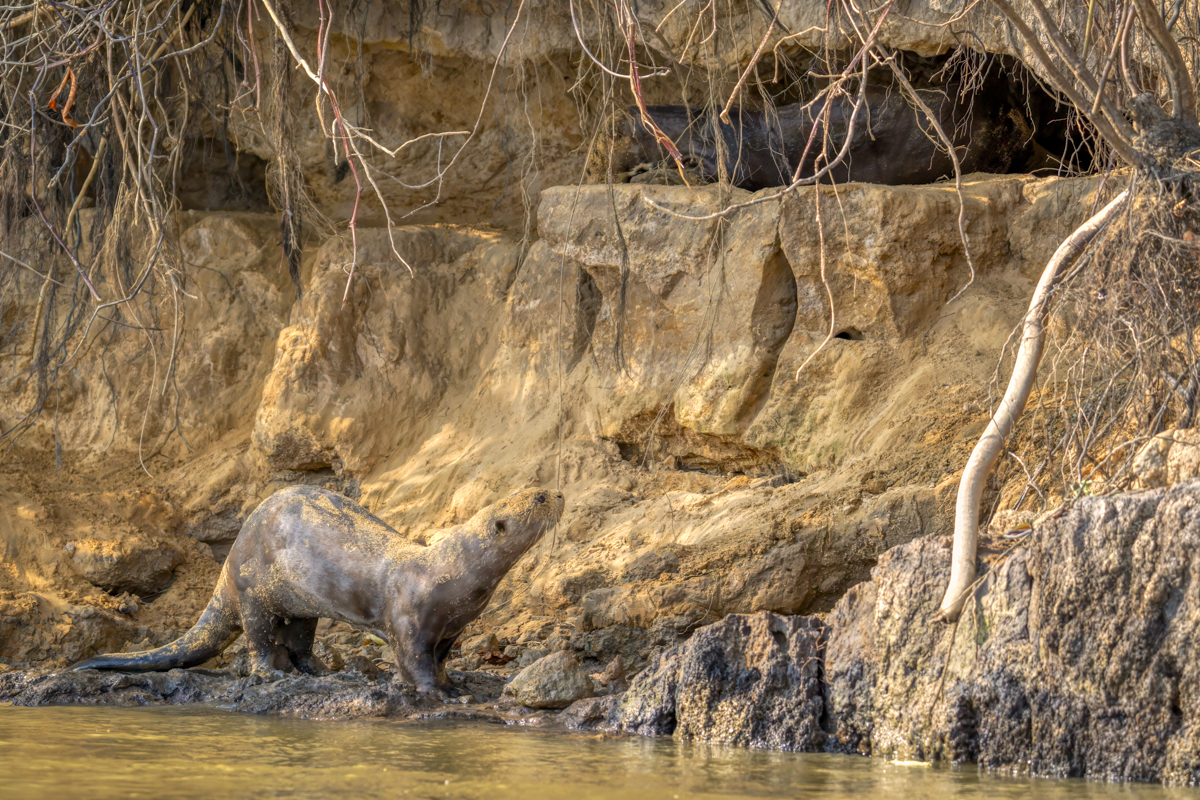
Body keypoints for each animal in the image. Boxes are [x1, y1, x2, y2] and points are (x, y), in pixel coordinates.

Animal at [73, 486, 565, 692]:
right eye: (538, 497)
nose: (560, 493)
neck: (450, 576)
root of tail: (227, 563)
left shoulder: (453, 630)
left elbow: (442, 660)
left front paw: (454, 683)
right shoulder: (409, 620)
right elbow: (413, 662)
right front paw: (436, 694)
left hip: (303, 608)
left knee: (298, 641)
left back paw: (321, 672)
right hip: (253, 590)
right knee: (258, 637)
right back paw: (269, 674)